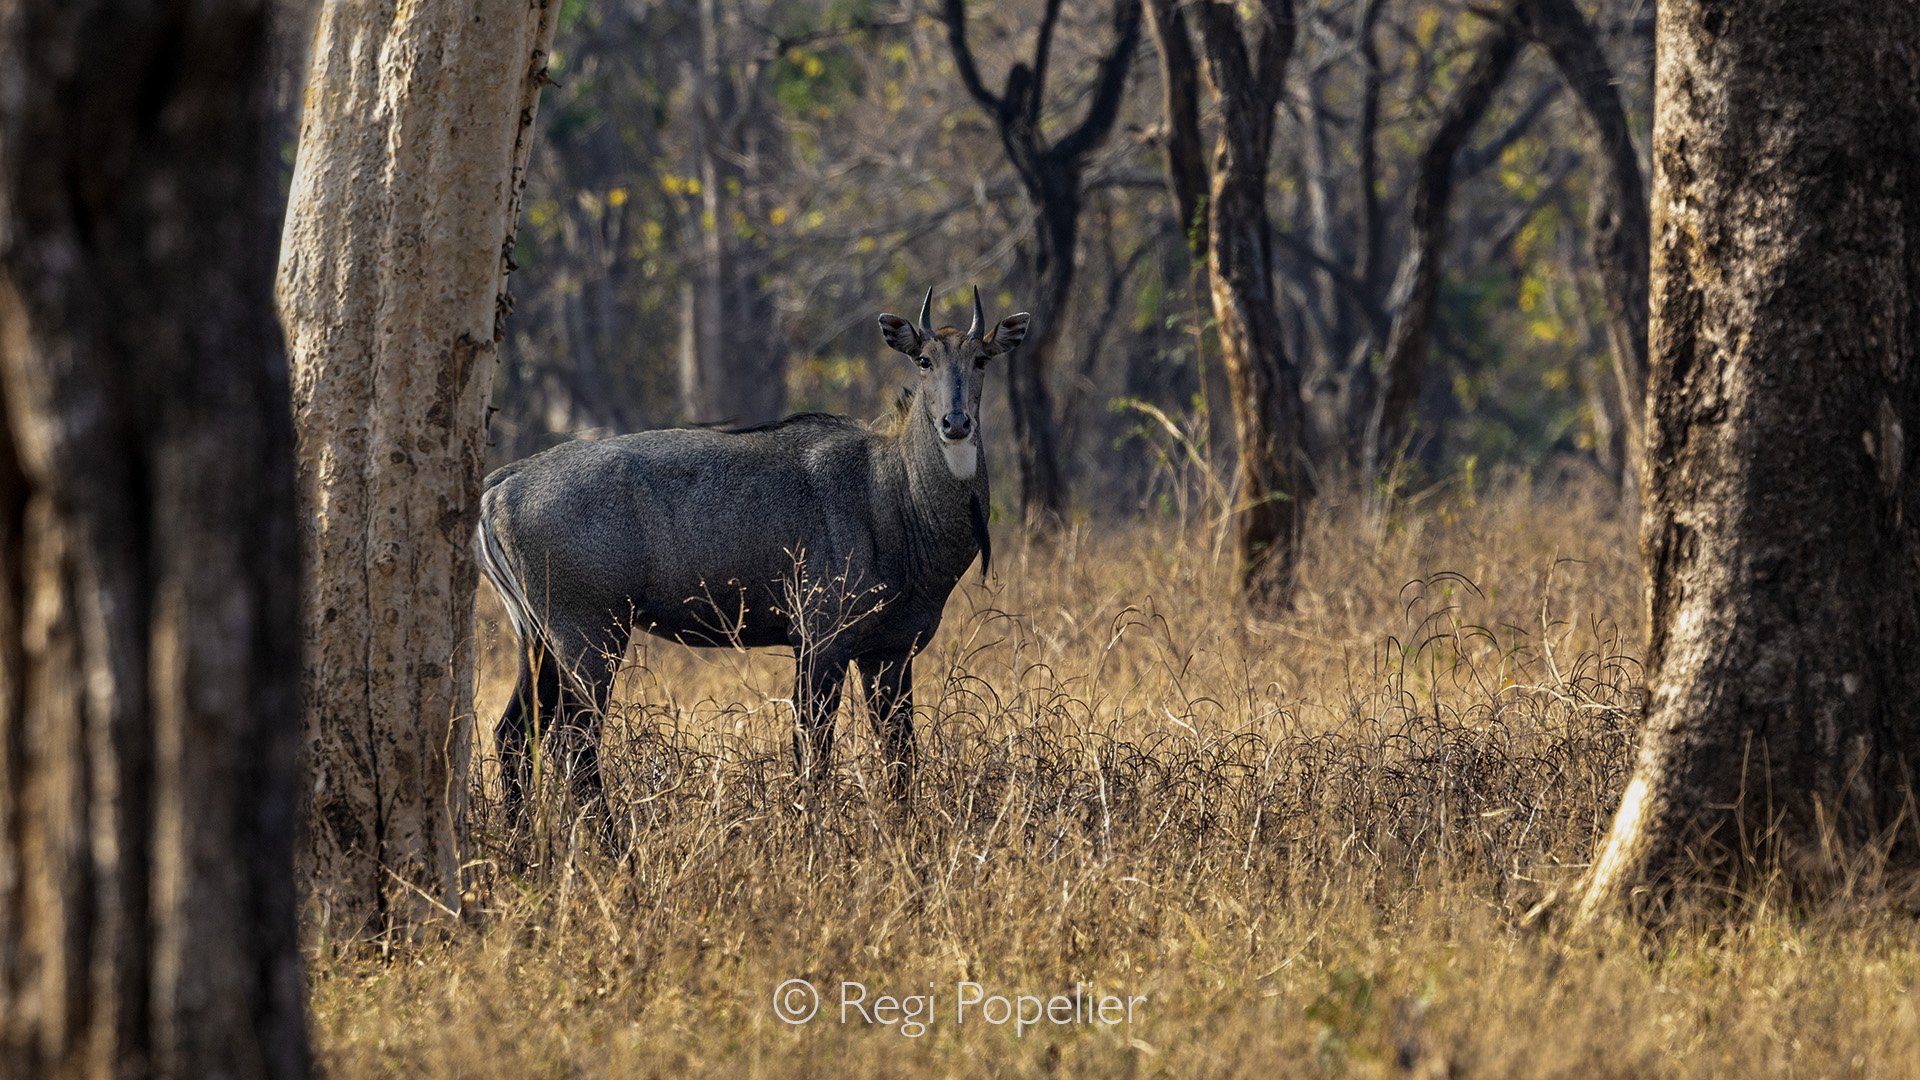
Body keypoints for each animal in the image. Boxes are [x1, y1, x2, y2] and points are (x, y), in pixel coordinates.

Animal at [477, 288, 1029, 811]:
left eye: (982, 359)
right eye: (923, 360)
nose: (956, 423)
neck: (893, 494)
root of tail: (500, 486)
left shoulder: (889, 652)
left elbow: (900, 757)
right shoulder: (820, 639)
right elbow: (812, 752)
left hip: (539, 638)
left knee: (513, 735)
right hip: (589, 634)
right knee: (574, 745)